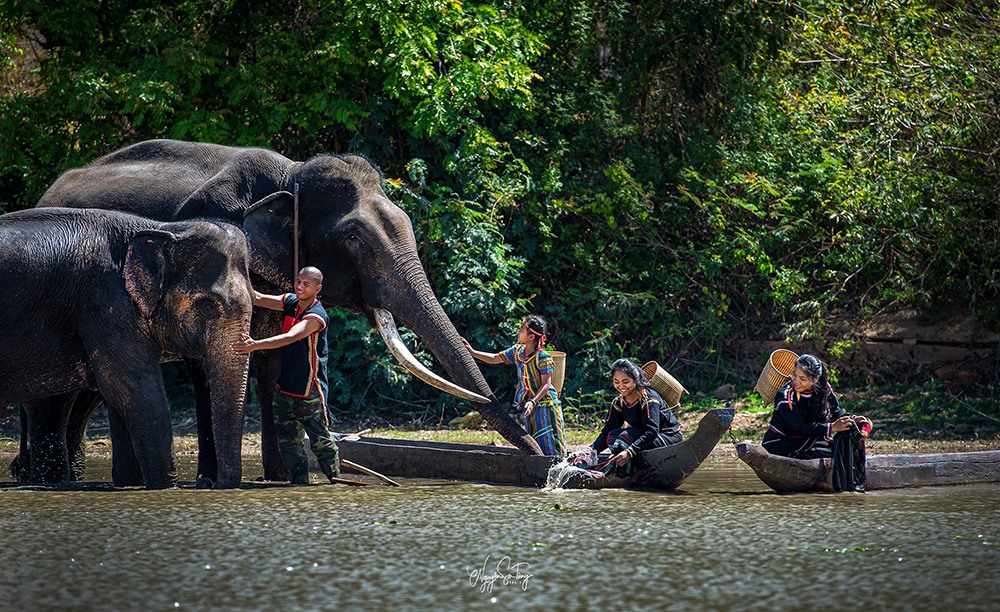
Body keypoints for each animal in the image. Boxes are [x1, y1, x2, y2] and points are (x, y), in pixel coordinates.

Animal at [0, 208, 254, 490]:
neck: (161, 229)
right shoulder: (105, 306)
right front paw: (167, 488)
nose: (207, 483)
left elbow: (121, 397)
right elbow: (136, 390)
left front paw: (130, 485)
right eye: (209, 306)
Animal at [33, 139, 540, 482]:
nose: (539, 452)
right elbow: (206, 363)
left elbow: (275, 355)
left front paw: (278, 475)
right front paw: (214, 478)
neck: (288, 176)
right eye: (354, 239)